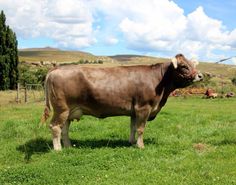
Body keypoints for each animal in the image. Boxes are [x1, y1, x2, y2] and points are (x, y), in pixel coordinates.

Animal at [42, 53, 203, 150]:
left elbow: (133, 127)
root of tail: (56, 69)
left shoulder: (134, 110)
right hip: (61, 109)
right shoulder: (144, 107)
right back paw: (58, 149)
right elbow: (141, 128)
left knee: (64, 128)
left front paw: (131, 143)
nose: (200, 76)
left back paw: (68, 146)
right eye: (184, 66)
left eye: (193, 65)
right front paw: (141, 146)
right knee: (55, 127)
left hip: (69, 111)